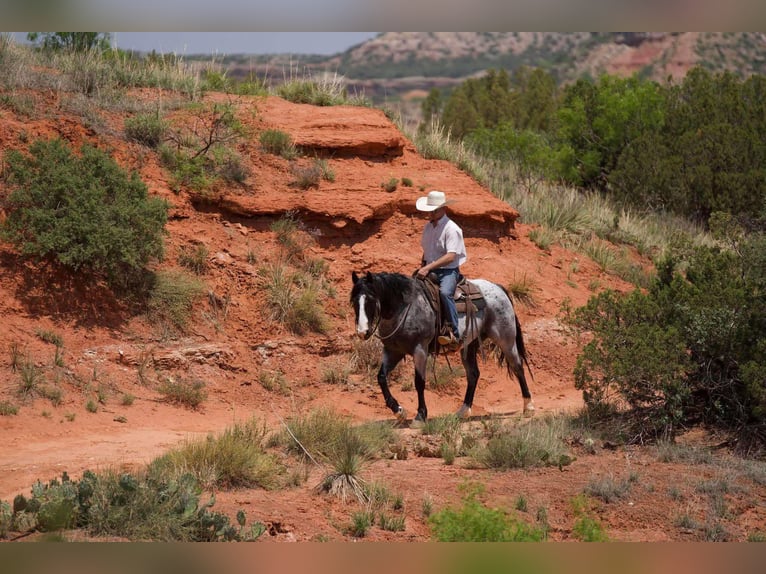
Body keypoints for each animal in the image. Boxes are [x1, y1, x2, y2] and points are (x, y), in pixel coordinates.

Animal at [350, 272, 536, 428]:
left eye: (371, 300)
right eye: (354, 302)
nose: (362, 332)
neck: (404, 307)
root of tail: (498, 287)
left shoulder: (420, 350)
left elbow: (419, 381)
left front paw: (420, 416)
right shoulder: (393, 351)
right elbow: (381, 377)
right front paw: (399, 411)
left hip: (505, 339)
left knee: (518, 367)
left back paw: (528, 406)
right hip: (469, 345)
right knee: (473, 374)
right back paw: (463, 411)